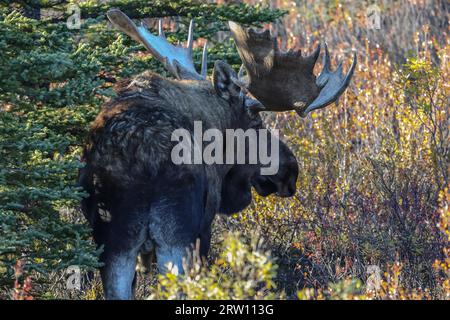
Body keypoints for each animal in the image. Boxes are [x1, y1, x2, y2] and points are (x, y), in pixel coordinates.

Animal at [80, 10, 356, 300]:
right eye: (257, 123)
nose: (291, 170)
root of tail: (142, 161)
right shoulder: (204, 227)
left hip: (113, 241)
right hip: (175, 235)